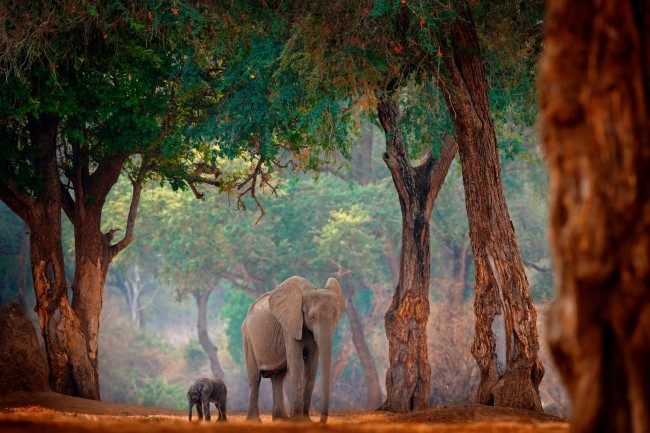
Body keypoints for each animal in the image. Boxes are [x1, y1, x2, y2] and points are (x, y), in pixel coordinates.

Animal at [241, 276, 344, 423]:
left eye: (336, 317)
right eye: (312, 317)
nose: (319, 421)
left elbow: (312, 365)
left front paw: (306, 421)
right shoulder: (290, 325)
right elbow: (297, 363)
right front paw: (298, 420)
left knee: (278, 377)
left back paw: (281, 419)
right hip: (247, 335)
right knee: (254, 377)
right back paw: (254, 421)